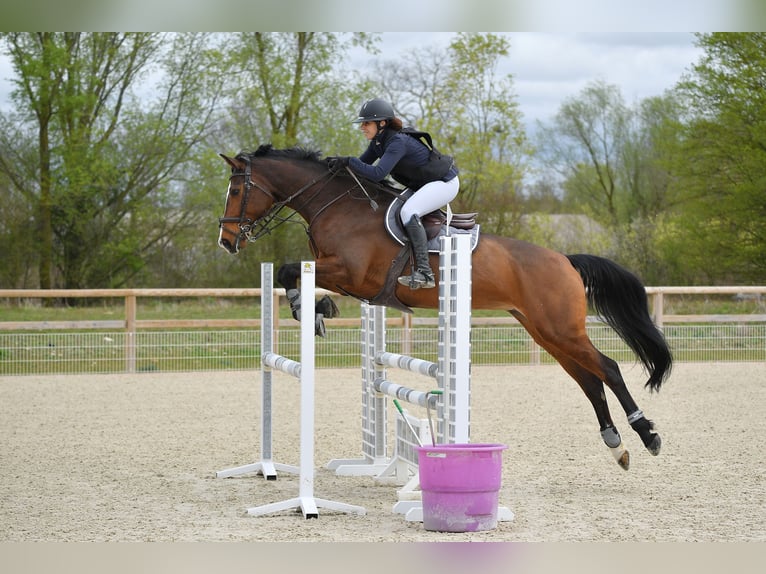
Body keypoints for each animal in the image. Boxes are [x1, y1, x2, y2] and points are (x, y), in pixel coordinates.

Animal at [219, 144, 676, 472]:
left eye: (237, 190)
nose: (226, 242)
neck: (338, 207)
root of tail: (564, 259)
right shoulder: (351, 281)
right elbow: (292, 273)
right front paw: (315, 309)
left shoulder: (352, 274)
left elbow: (290, 269)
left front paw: (310, 308)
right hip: (545, 332)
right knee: (589, 381)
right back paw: (616, 446)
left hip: (562, 329)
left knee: (609, 369)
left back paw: (648, 435)